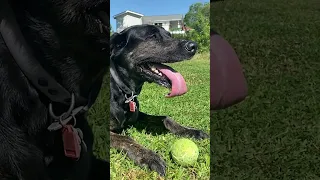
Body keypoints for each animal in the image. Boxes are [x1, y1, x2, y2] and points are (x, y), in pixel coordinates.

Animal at [110, 25, 210, 176]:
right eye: (152, 36)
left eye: (169, 35)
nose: (193, 46)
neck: (122, 90)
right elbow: (126, 139)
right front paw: (149, 156)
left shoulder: (138, 115)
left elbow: (165, 118)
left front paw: (190, 131)